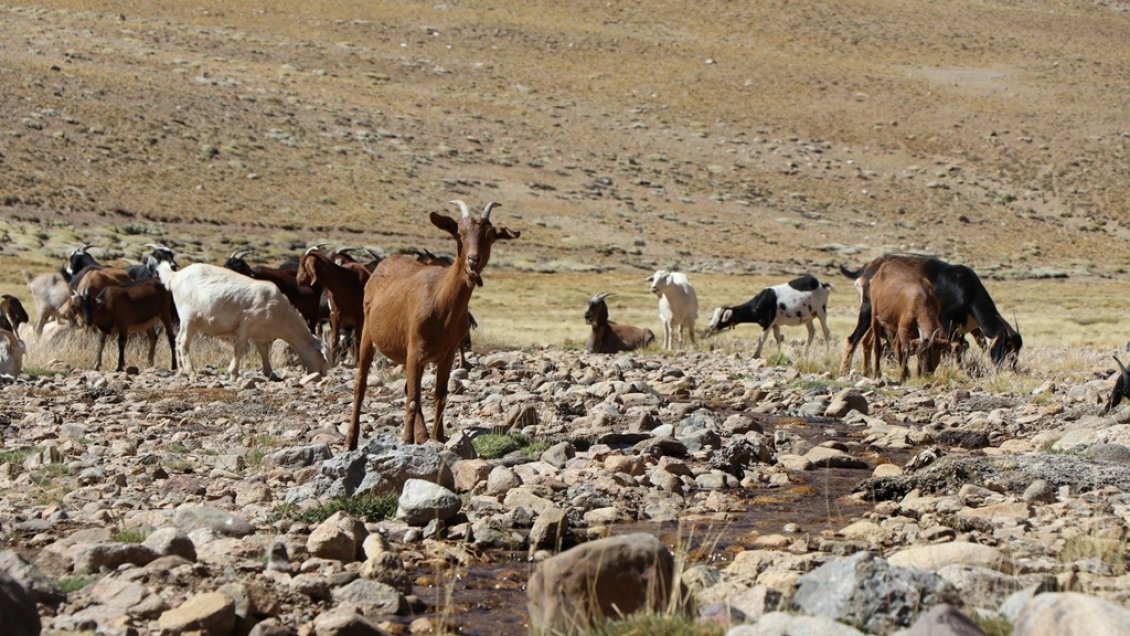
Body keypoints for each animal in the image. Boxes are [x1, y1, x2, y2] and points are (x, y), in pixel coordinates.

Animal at [157, 262, 327, 380]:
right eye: (322, 357)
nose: (323, 375)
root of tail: (175, 276)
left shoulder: (259, 333)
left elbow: (263, 351)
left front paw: (270, 373)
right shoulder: (246, 324)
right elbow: (239, 349)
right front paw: (233, 373)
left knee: (178, 340)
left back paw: (181, 371)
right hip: (189, 317)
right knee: (184, 343)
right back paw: (191, 373)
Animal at [348, 200, 519, 448]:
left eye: (490, 236)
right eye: (459, 233)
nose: (473, 260)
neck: (442, 300)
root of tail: (382, 265)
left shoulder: (447, 353)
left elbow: (440, 395)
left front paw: (439, 438)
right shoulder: (414, 350)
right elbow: (412, 398)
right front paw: (407, 440)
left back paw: (422, 435)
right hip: (368, 335)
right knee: (361, 384)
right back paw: (351, 440)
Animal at [839, 255, 1022, 375]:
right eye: (1006, 347)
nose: (1011, 370)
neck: (966, 288)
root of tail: (867, 268)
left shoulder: (968, 328)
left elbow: (967, 345)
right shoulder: (946, 322)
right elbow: (955, 346)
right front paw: (955, 370)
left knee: (867, 341)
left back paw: (867, 371)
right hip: (868, 309)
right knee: (853, 338)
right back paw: (844, 372)